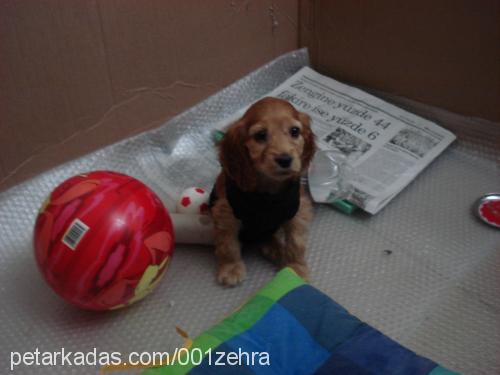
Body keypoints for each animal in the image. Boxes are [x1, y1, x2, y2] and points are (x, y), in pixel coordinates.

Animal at [209, 97, 314, 288]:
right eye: (260, 135)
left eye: (295, 131)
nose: (285, 159)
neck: (269, 193)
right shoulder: (226, 214)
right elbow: (228, 244)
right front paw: (231, 268)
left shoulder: (297, 212)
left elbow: (296, 242)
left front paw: (296, 268)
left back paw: (277, 250)